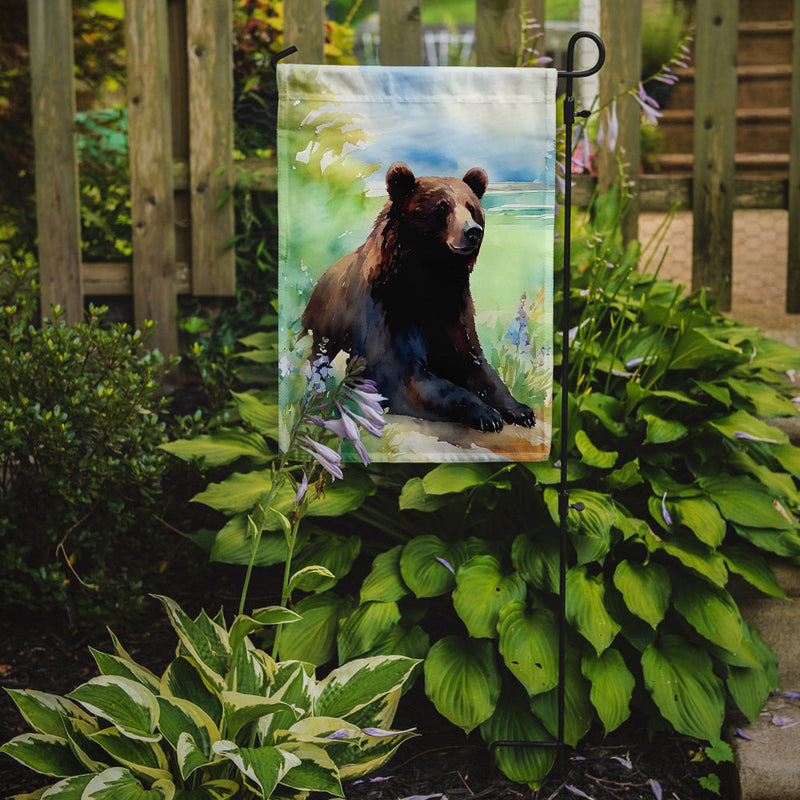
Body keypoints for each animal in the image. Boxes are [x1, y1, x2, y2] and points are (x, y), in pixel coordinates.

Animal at [301, 161, 535, 433]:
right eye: (442, 206)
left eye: (471, 207)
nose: (472, 232)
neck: (431, 276)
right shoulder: (391, 311)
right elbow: (406, 377)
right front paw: (486, 414)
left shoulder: (454, 311)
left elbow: (476, 364)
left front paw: (521, 410)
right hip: (325, 321)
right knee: (317, 353)